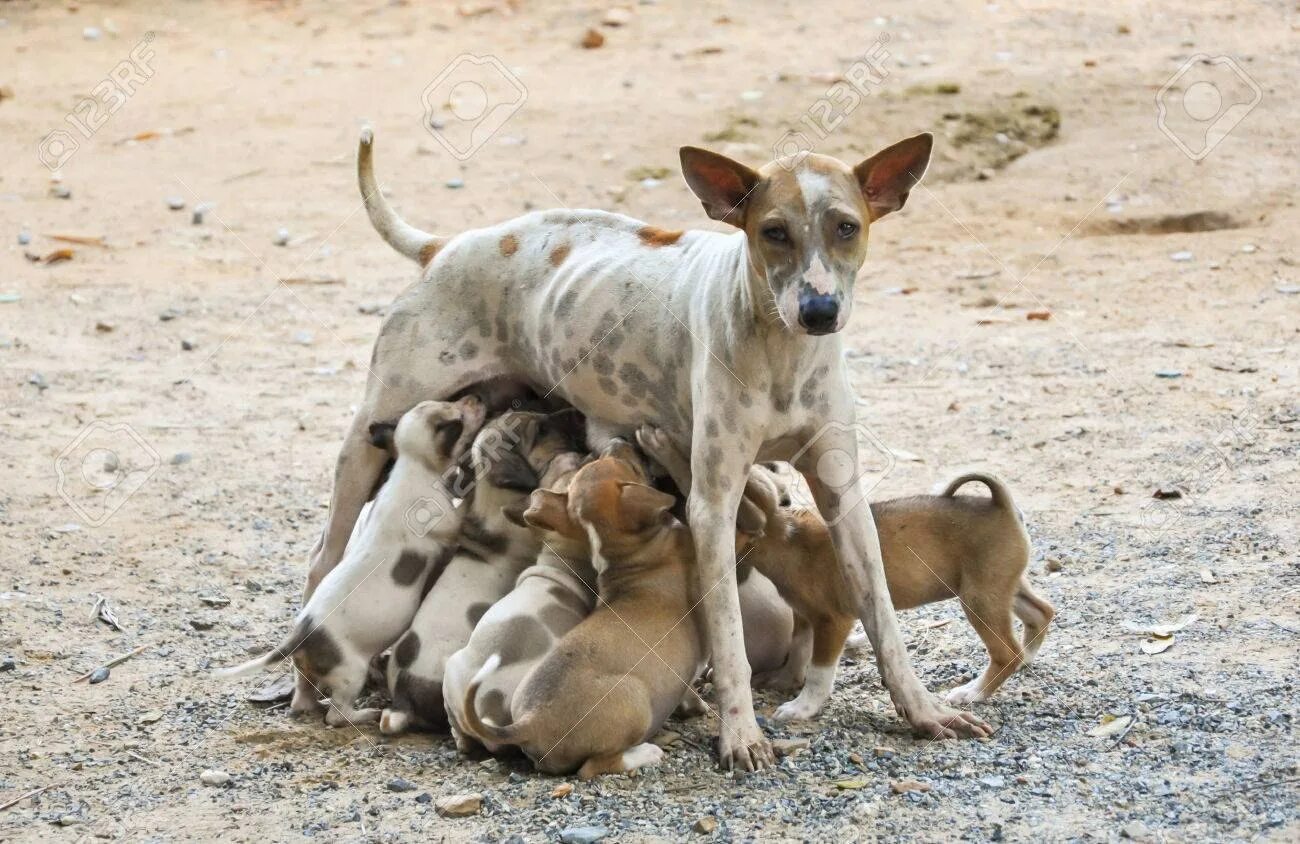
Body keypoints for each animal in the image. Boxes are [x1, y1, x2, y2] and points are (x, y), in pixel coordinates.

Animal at [215, 397, 486, 723]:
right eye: (458, 416)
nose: (475, 399)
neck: (411, 466)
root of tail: (300, 636)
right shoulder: (450, 523)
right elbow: (464, 507)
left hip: (316, 673)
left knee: (306, 696)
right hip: (351, 674)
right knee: (336, 716)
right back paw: (365, 714)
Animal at [454, 442, 702, 775]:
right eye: (631, 468)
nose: (616, 442)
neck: (625, 551)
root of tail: (530, 722)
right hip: (632, 698)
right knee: (594, 767)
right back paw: (647, 753)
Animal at [639, 429, 1055, 717]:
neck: (785, 536)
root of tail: (1000, 504)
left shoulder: (833, 621)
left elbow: (819, 670)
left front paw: (802, 708)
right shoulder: (806, 617)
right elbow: (799, 653)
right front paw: (785, 682)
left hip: (979, 599)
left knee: (1005, 652)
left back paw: (973, 692)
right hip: (1002, 586)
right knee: (1041, 613)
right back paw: (1029, 656)